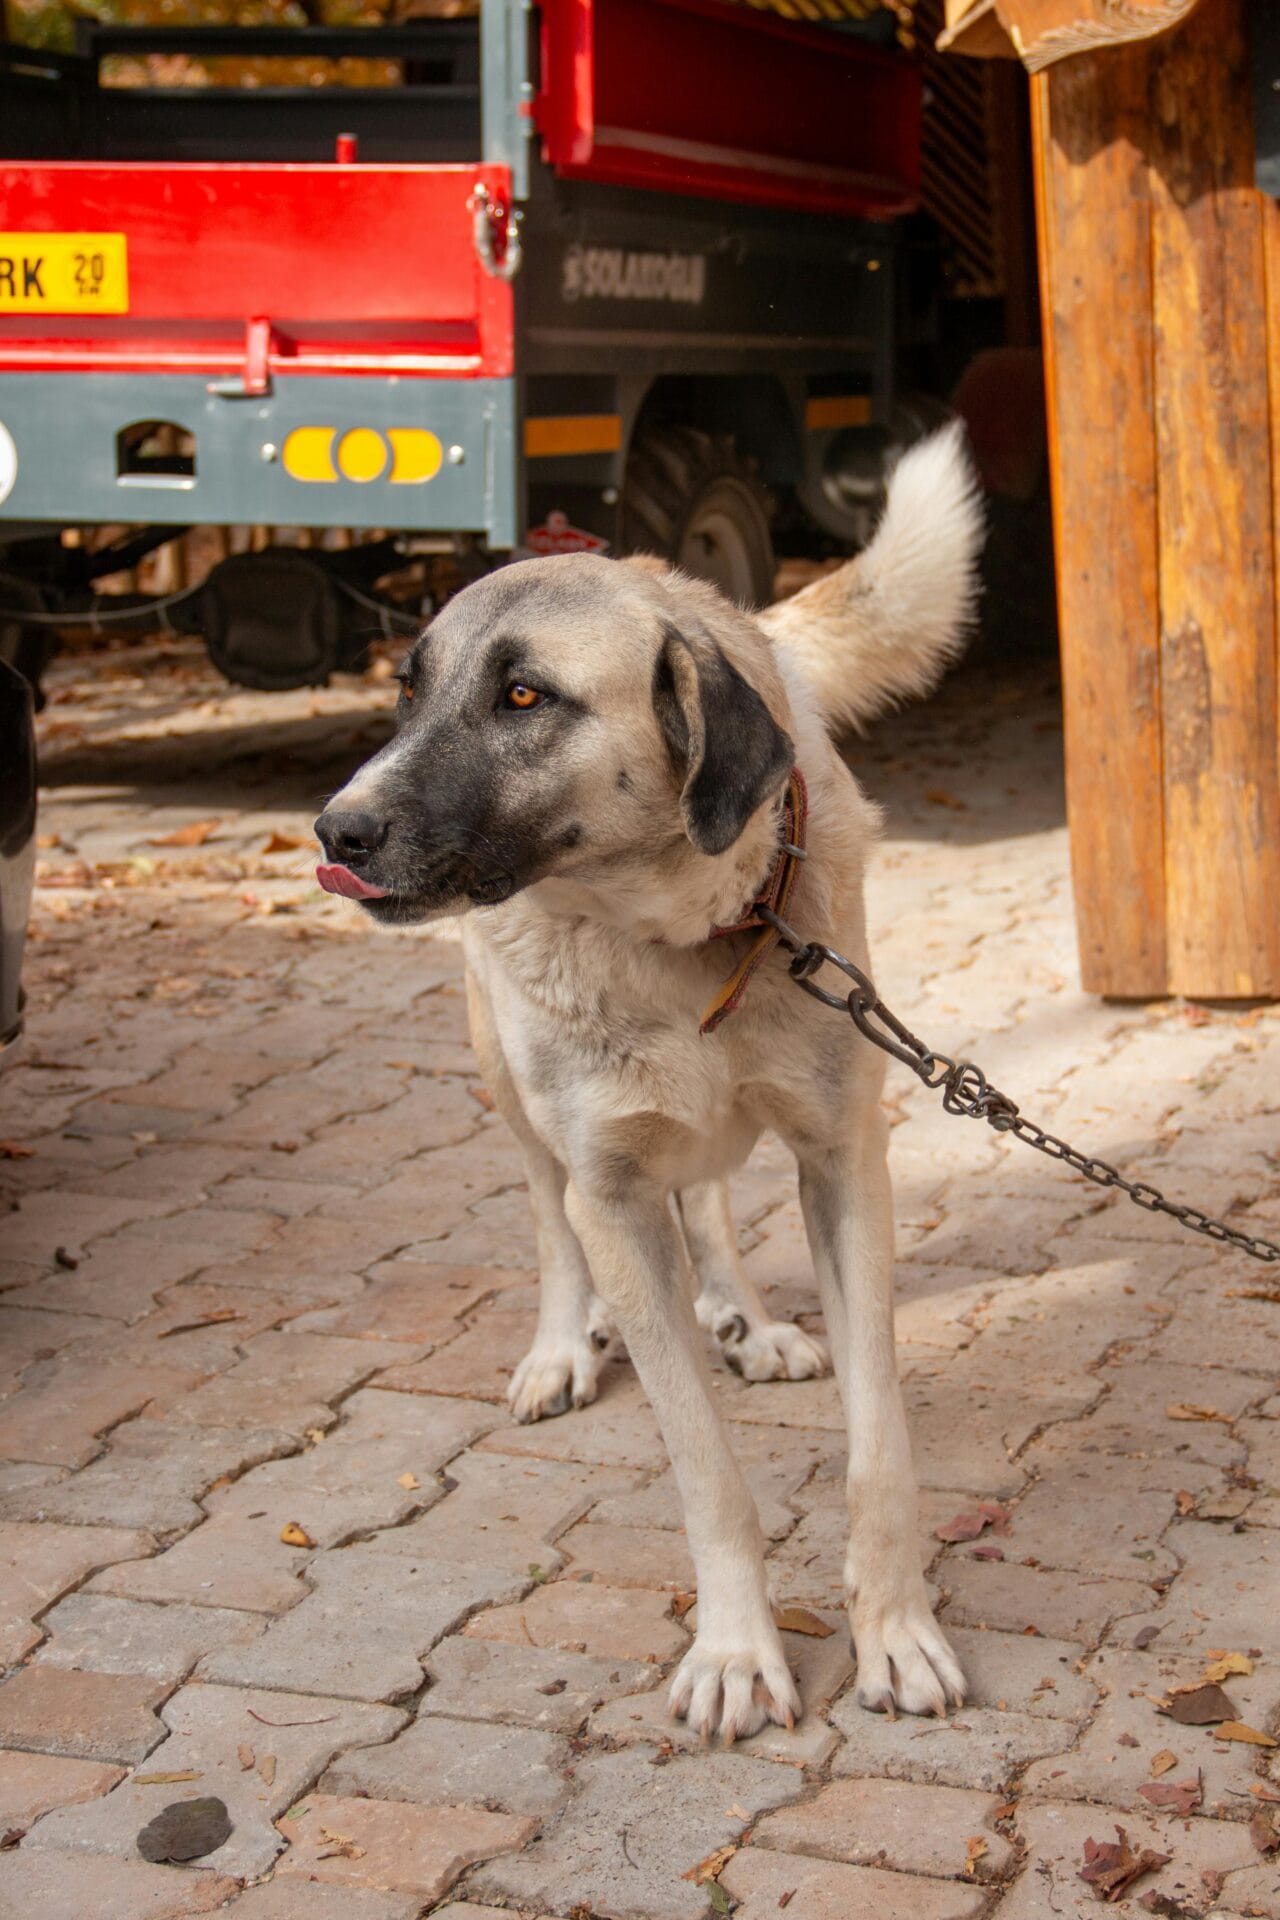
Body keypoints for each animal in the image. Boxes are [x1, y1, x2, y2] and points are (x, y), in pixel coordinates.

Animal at [318, 428, 982, 1751]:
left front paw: (892, 1631)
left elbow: (876, 1450)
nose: (335, 830)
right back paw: (562, 1346)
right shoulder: (611, 1197)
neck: (676, 938)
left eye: (524, 697)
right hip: (510, 1091)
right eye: (409, 693)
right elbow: (706, 1473)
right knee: (546, 1212)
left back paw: (741, 1315)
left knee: (712, 1195)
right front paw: (735, 1653)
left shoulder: (844, 1163)